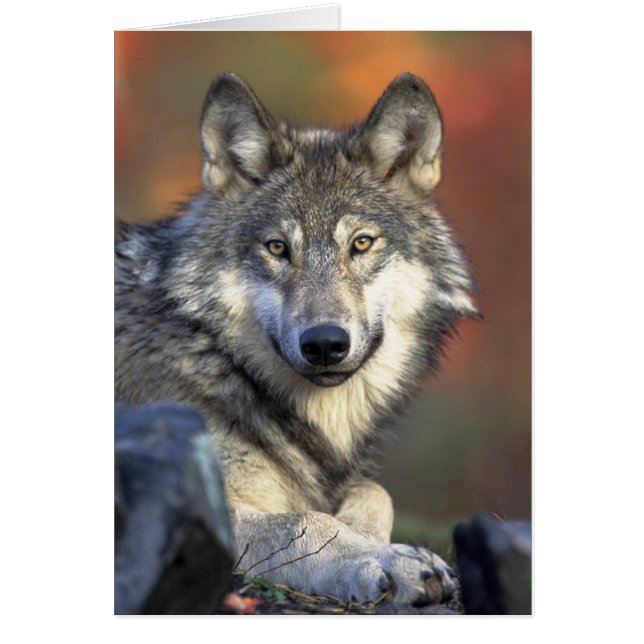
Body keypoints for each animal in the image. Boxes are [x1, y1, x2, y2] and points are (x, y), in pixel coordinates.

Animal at [115, 72, 478, 607]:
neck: (216, 358)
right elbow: (305, 522)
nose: (325, 343)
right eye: (278, 248)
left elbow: (375, 492)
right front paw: (387, 560)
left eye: (362, 243)